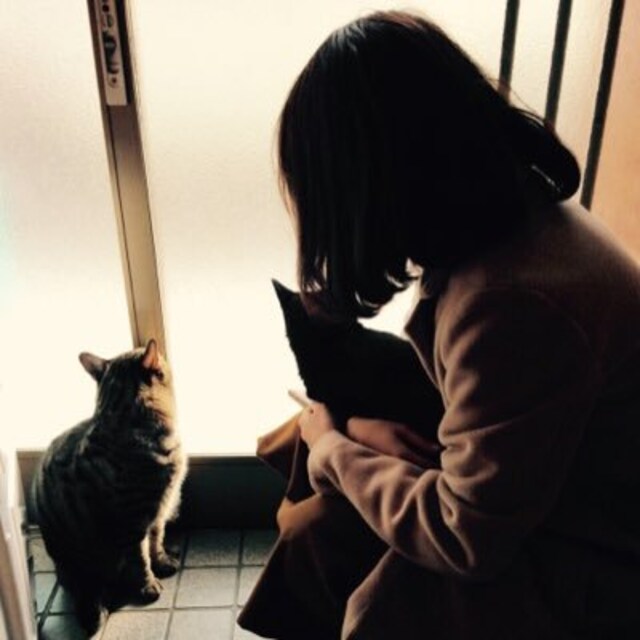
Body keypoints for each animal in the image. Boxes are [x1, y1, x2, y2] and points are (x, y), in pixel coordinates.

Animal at [31, 340, 187, 635]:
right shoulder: (132, 521)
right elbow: (141, 558)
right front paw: (148, 584)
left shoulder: (157, 512)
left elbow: (156, 541)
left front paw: (161, 561)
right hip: (81, 562)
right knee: (89, 585)